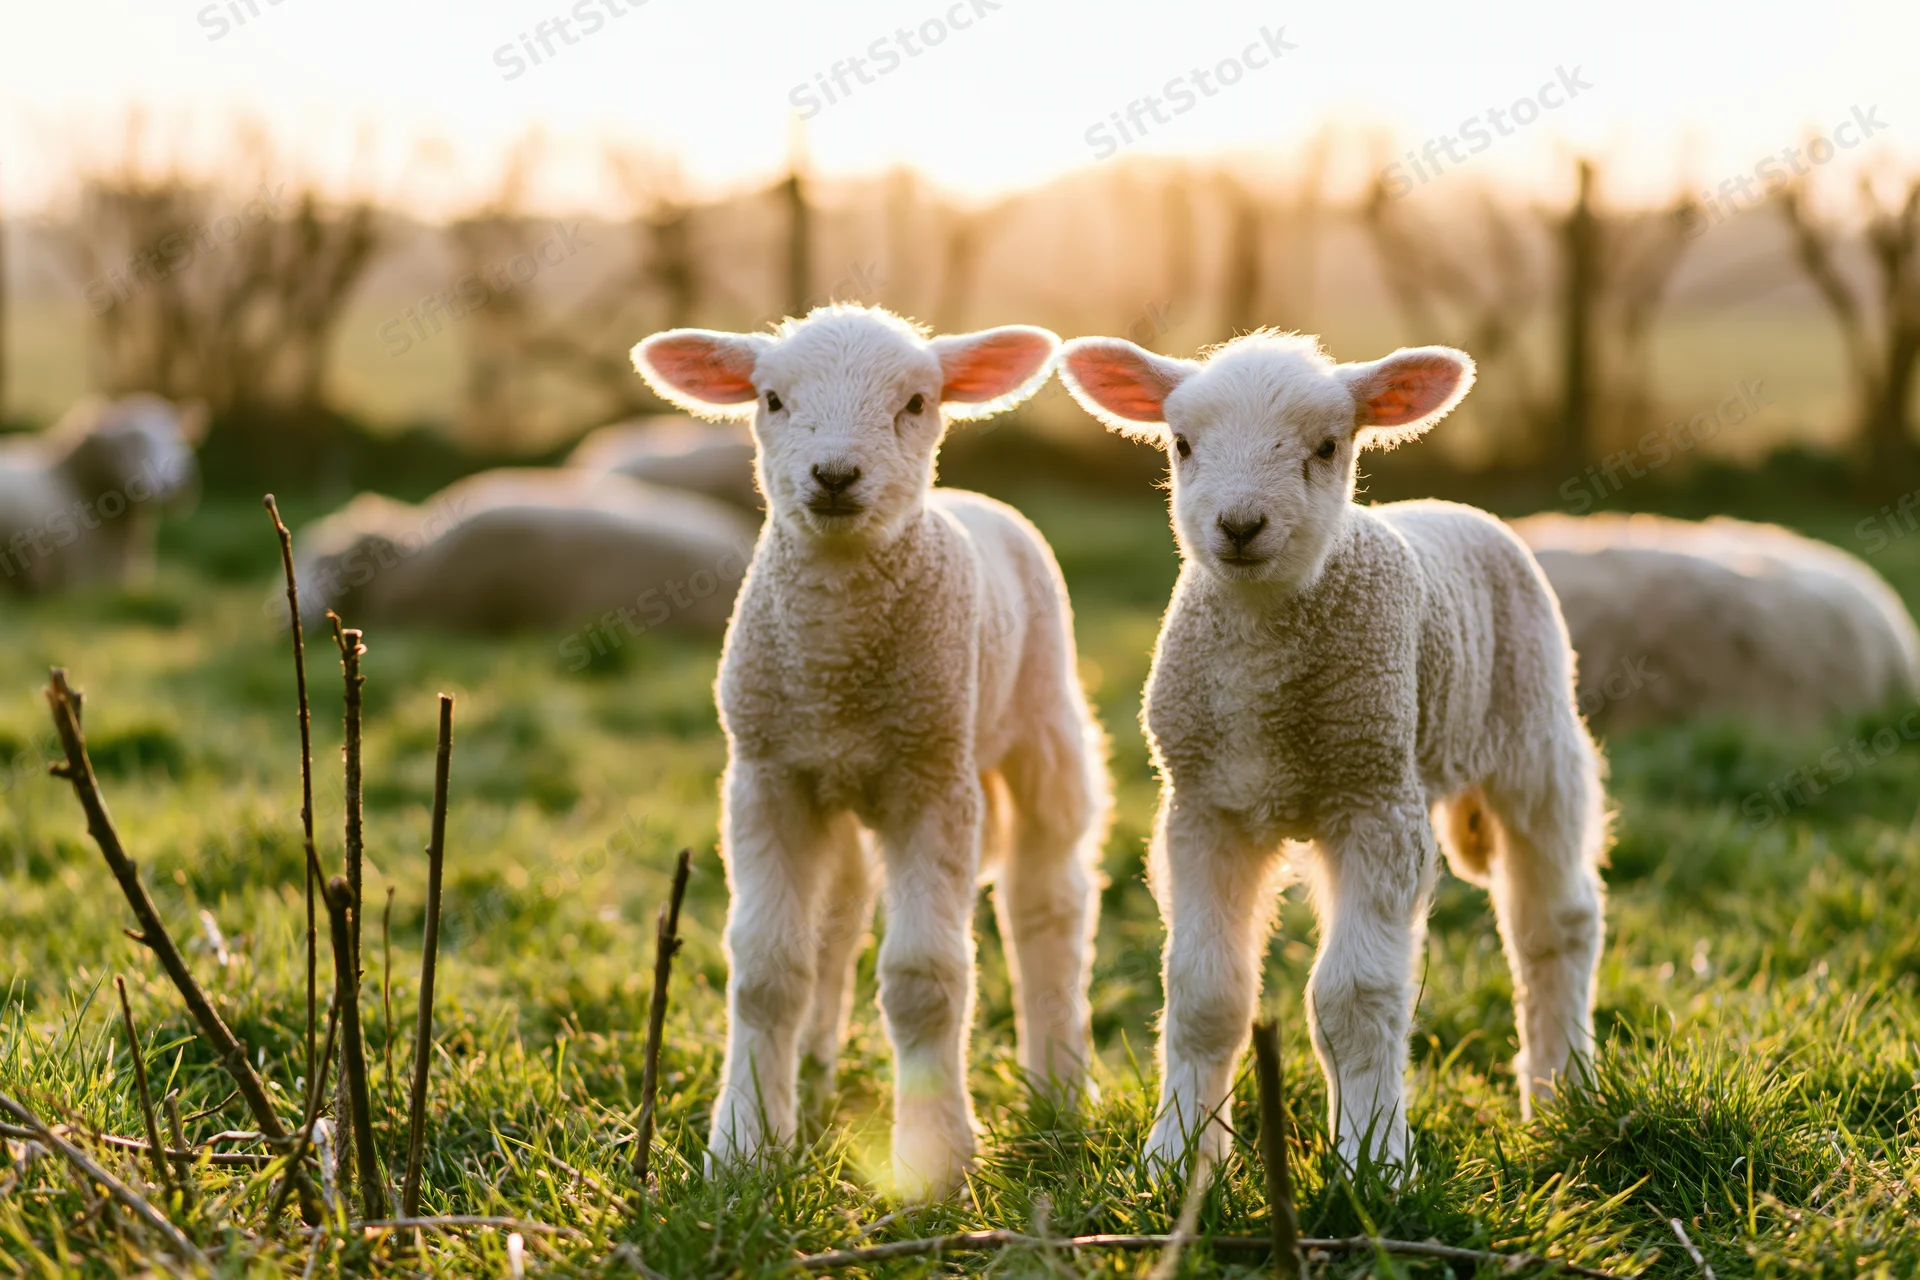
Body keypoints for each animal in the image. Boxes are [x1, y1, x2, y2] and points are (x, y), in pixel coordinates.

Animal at [631, 304, 1111, 1199]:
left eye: (917, 402)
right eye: (772, 399)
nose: (834, 475)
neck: (839, 668)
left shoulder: (933, 783)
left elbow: (925, 979)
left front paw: (934, 1158)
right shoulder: (767, 776)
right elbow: (768, 972)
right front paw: (747, 1143)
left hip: (1042, 728)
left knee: (1047, 905)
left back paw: (1060, 1085)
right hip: (845, 789)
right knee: (840, 917)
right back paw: (818, 1068)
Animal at [1058, 330, 1608, 1179]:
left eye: (1326, 446)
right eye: (1181, 445)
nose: (1240, 524)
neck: (1264, 660)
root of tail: (1449, 509)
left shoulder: (1374, 801)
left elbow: (1354, 998)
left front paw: (1375, 1164)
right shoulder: (1202, 809)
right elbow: (1205, 994)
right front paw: (1178, 1157)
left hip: (1536, 735)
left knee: (1555, 924)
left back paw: (1560, 1092)